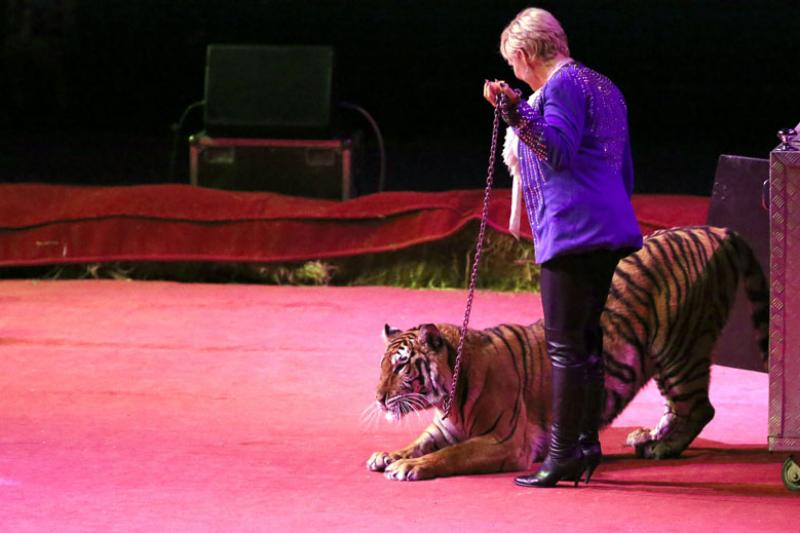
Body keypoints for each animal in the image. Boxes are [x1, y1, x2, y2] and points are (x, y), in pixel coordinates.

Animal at [366, 225, 769, 481]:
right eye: (382, 366)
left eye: (402, 367)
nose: (380, 399)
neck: (451, 393)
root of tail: (718, 231)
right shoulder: (444, 428)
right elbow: (417, 443)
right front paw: (388, 455)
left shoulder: (506, 441)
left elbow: (452, 455)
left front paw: (409, 468)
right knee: (679, 407)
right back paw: (647, 437)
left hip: (680, 348)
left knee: (700, 408)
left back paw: (662, 448)